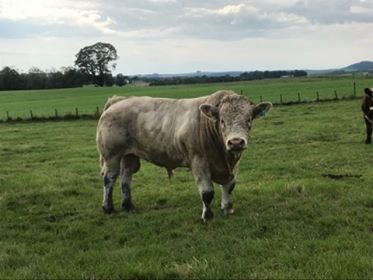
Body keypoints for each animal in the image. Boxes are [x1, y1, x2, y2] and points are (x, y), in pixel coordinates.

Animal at [95, 89, 270, 221]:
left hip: (129, 156)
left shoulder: (234, 165)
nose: (235, 142)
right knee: (109, 178)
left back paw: (128, 205)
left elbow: (229, 187)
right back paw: (108, 207)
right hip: (112, 155)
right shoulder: (199, 162)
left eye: (249, 120)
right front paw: (207, 216)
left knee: (126, 178)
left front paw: (227, 209)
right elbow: (207, 192)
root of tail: (118, 100)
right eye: (222, 121)